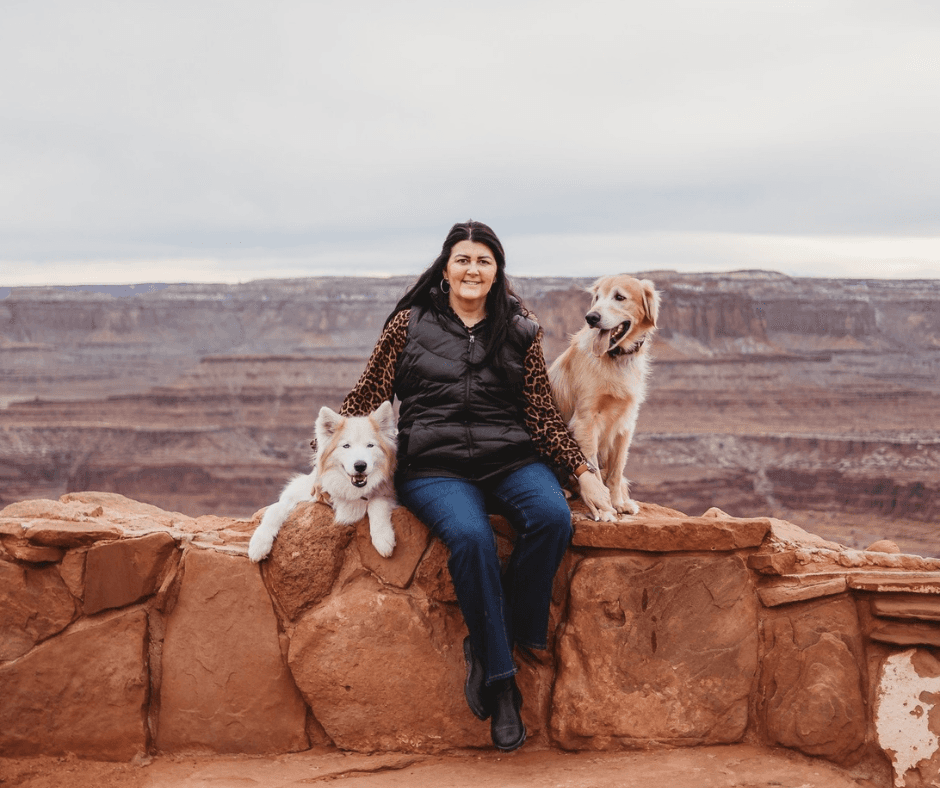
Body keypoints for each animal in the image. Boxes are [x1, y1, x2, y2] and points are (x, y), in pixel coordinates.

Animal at [246, 404, 396, 564]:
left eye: (370, 445)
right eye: (346, 446)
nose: (360, 465)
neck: (349, 488)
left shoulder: (388, 492)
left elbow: (377, 503)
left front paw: (383, 538)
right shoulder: (301, 492)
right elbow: (275, 510)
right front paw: (258, 544)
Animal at [548, 276, 656, 516]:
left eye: (619, 297)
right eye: (596, 298)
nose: (591, 317)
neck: (615, 358)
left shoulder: (625, 423)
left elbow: (616, 470)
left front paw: (618, 503)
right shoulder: (586, 420)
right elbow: (593, 469)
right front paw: (604, 507)